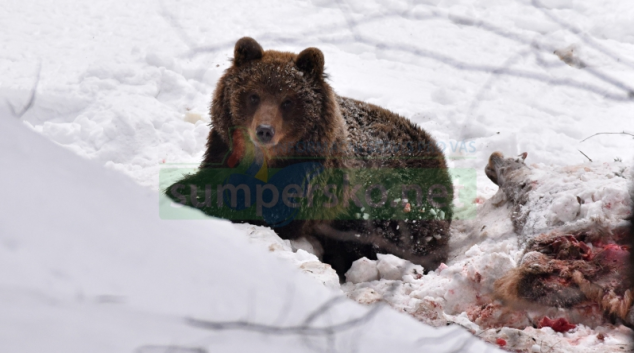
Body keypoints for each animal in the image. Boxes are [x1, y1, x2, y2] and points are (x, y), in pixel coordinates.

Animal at [165, 36, 452, 278]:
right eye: (253, 95)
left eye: (288, 101)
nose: (264, 130)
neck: (268, 159)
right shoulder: (223, 149)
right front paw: (183, 189)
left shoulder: (311, 178)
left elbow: (271, 209)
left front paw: (199, 198)